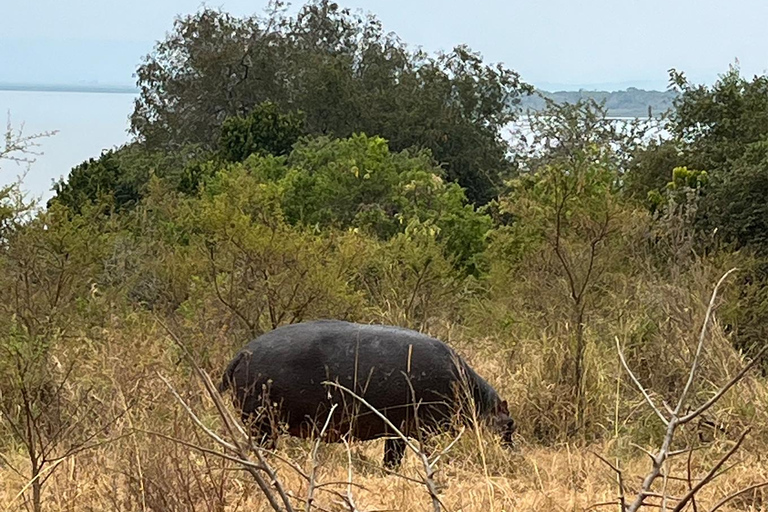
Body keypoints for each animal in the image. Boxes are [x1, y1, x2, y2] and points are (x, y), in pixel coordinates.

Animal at [218, 320, 516, 468]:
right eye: (510, 424)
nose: (516, 457)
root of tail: (241, 353)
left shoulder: (397, 431)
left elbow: (391, 460)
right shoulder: (425, 429)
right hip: (262, 424)